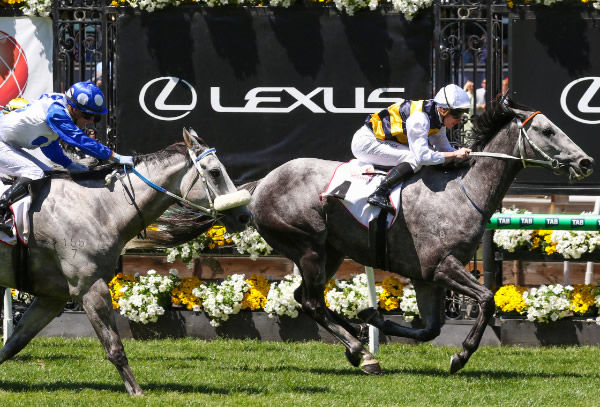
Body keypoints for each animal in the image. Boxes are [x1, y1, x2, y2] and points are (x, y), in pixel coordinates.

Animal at [0, 129, 251, 396]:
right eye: (214, 172)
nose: (244, 216)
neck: (100, 209)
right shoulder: (90, 288)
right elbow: (114, 347)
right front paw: (137, 392)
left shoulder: (52, 296)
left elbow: (15, 343)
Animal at [246, 98, 592, 376]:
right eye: (548, 131)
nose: (585, 161)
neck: (461, 192)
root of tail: (261, 183)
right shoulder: (440, 265)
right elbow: (486, 299)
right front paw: (461, 355)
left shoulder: (426, 277)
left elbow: (430, 329)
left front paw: (373, 316)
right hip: (309, 247)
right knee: (312, 302)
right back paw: (362, 354)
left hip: (331, 252)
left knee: (303, 298)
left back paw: (356, 335)